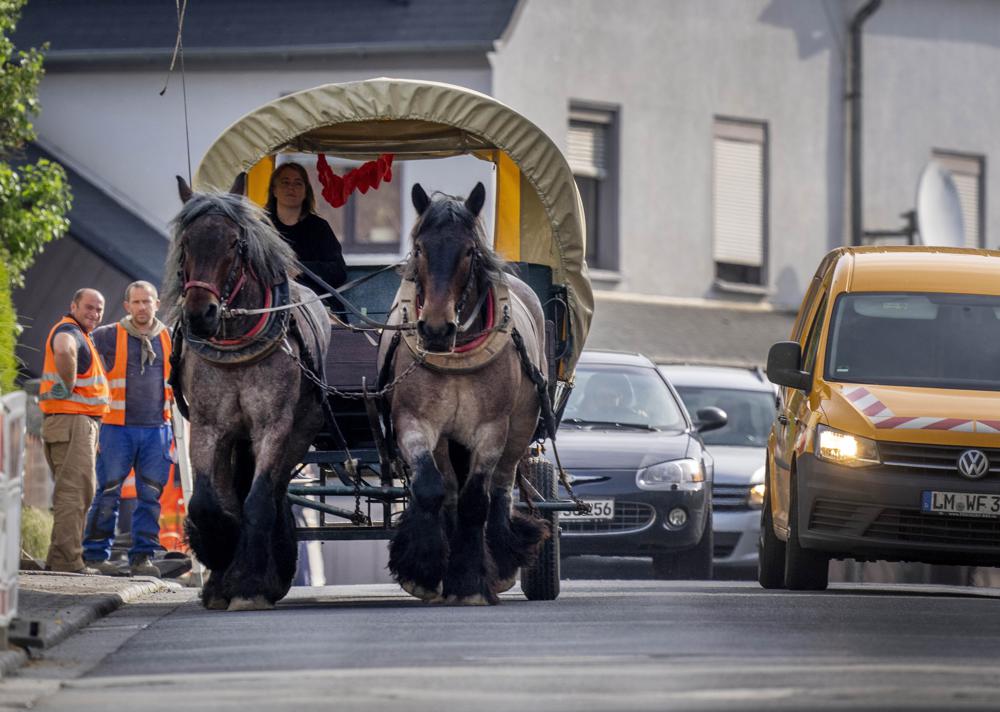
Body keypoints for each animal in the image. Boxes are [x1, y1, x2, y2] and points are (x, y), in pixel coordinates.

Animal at [166, 178, 330, 612]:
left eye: (235, 243)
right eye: (186, 242)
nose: (200, 314)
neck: (237, 344)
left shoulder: (273, 426)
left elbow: (257, 500)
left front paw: (250, 584)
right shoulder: (208, 426)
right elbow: (208, 501)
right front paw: (220, 557)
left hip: (299, 432)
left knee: (272, 492)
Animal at [376, 181, 552, 604]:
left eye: (470, 251)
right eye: (420, 248)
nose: (436, 329)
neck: (455, 352)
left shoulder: (491, 430)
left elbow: (477, 501)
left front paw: (470, 581)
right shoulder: (415, 422)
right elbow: (431, 489)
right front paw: (424, 569)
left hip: (521, 427)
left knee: (501, 488)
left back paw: (501, 560)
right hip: (446, 439)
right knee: (451, 490)